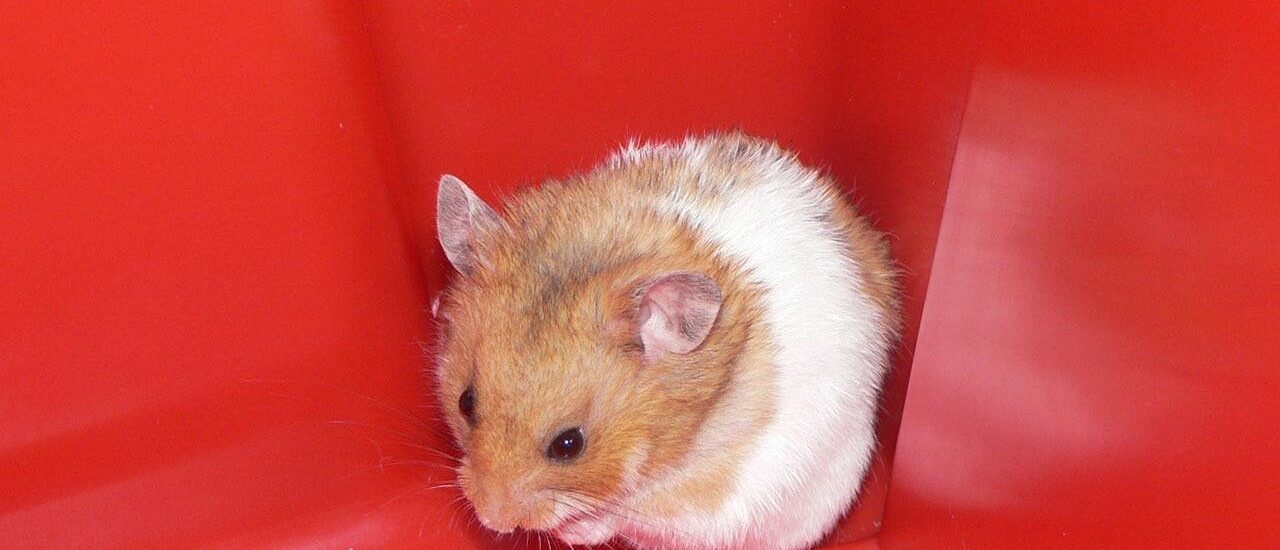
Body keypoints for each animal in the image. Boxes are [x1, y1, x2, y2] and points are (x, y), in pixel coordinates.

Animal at [431, 133, 899, 550]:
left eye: (569, 444)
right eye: (466, 402)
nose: (492, 520)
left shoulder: (709, 499)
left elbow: (625, 517)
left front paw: (573, 530)